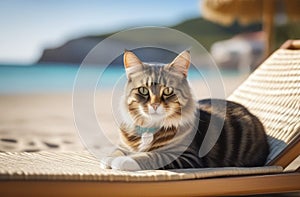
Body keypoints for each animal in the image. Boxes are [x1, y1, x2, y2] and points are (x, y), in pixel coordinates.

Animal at [100, 50, 270, 171]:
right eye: (143, 90)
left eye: (168, 90)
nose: (154, 105)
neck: (149, 127)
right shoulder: (123, 145)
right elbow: (117, 150)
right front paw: (110, 158)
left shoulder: (187, 156)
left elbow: (150, 155)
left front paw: (124, 160)